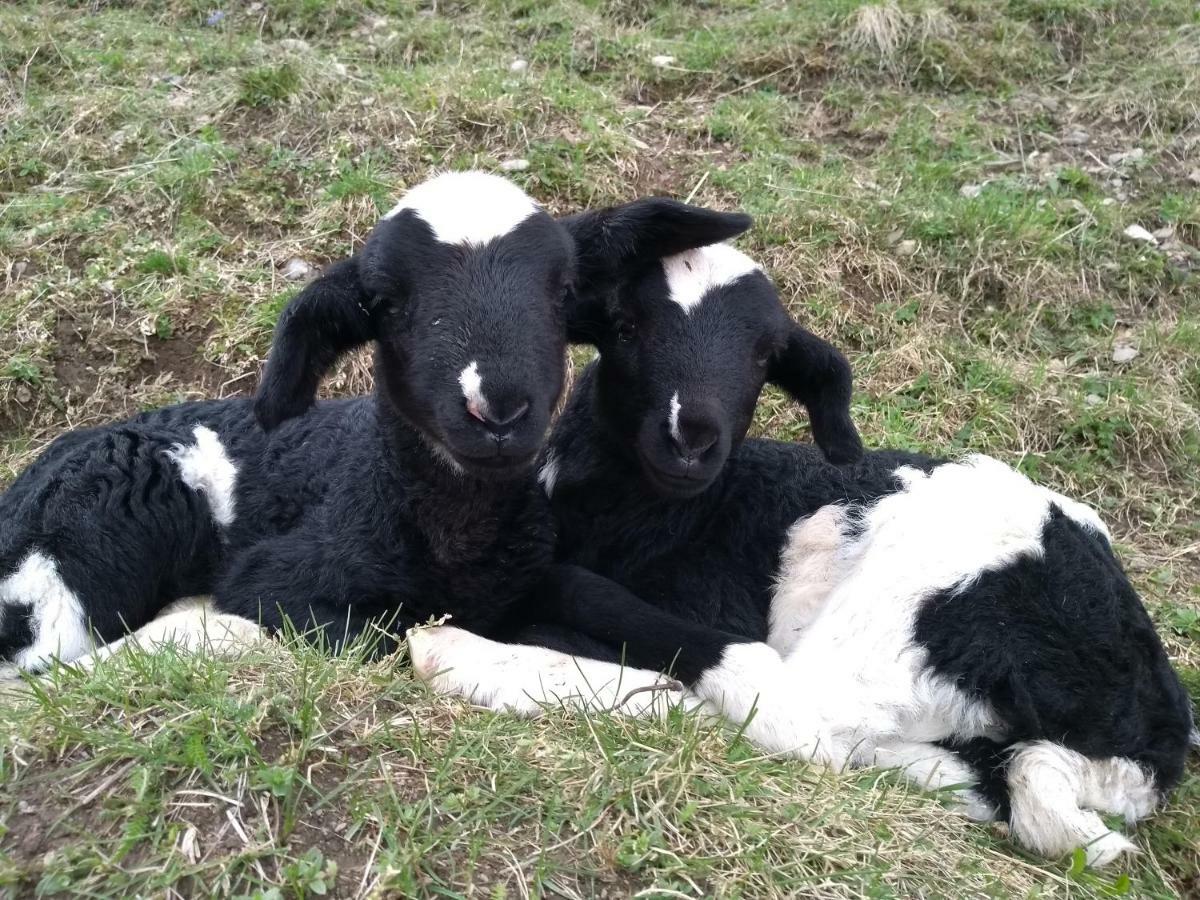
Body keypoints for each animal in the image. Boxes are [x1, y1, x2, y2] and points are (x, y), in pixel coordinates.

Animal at [0, 176, 748, 681]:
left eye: (563, 292)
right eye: (384, 303)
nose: (498, 410)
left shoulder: (532, 572)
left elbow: (592, 603)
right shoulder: (273, 581)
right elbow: (384, 637)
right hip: (82, 554)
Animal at [408, 240, 1195, 868]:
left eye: (762, 359)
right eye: (627, 327)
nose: (691, 436)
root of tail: (1153, 737)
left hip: (922, 589)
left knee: (784, 707)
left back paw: (452, 652)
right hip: (957, 742)